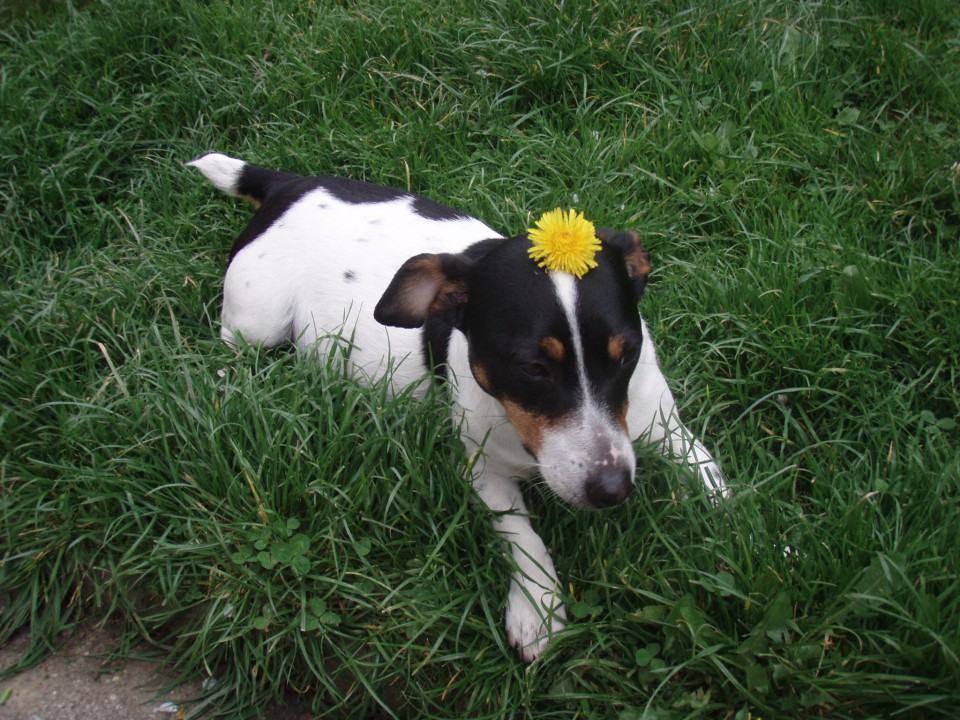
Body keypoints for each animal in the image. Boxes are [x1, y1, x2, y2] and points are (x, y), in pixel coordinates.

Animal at [189, 153, 728, 664]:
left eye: (626, 354)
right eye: (532, 368)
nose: (614, 490)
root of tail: (290, 184)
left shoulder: (665, 428)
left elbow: (713, 481)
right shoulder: (482, 471)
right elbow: (522, 537)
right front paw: (538, 610)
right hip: (256, 322)